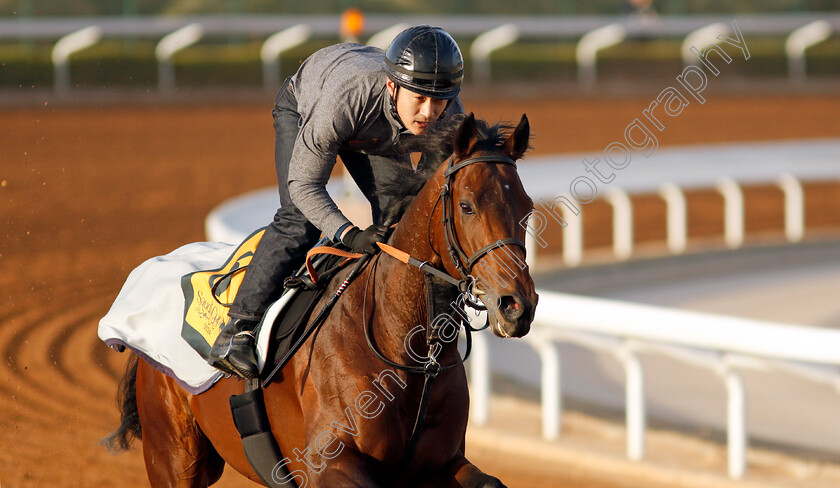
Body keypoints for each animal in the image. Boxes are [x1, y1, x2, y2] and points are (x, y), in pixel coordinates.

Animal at [106, 112, 540, 486]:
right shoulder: (326, 462)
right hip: (173, 455)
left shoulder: (441, 463)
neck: (403, 343)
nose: (517, 305)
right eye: (466, 206)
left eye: (528, 207)